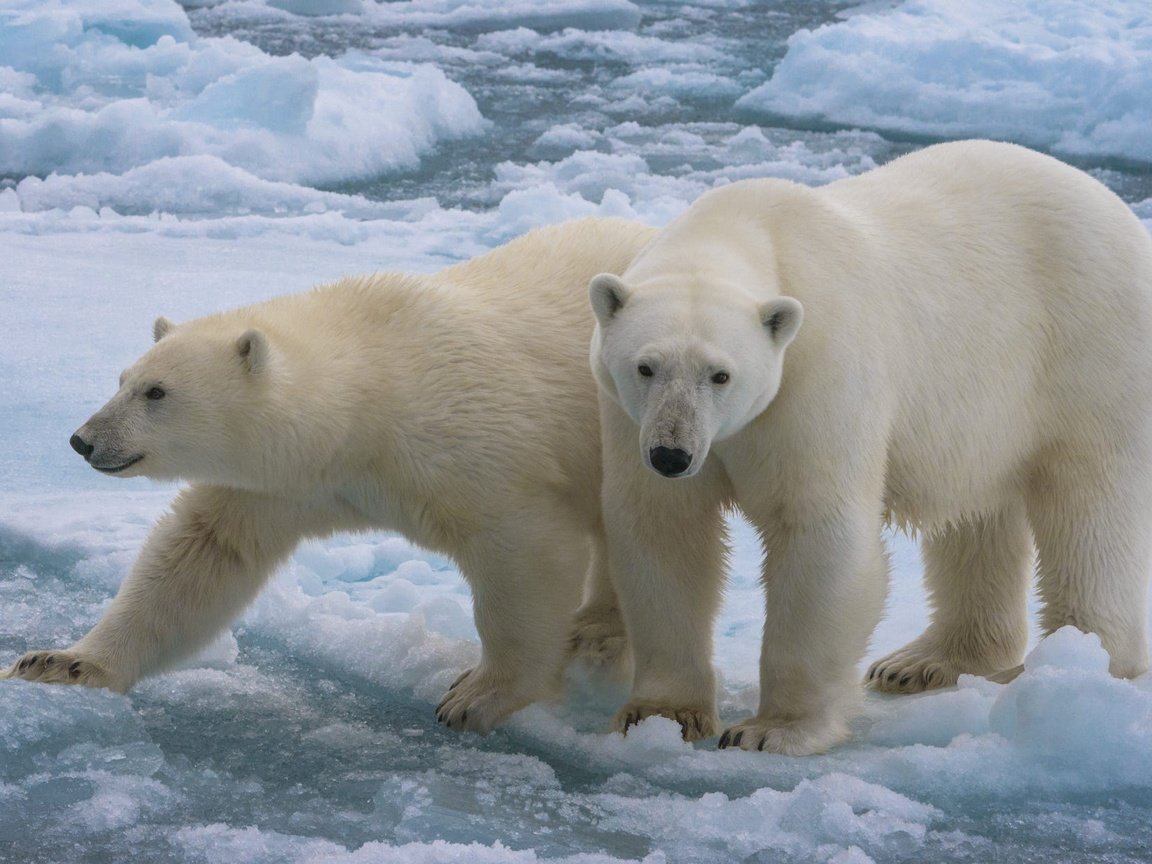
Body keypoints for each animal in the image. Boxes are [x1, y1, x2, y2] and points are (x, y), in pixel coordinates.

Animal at [4, 217, 658, 737]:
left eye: (156, 391)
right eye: (122, 379)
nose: (83, 439)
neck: (372, 393)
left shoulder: (475, 448)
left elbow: (523, 554)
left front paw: (475, 696)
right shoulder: (282, 485)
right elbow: (201, 555)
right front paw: (60, 663)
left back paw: (600, 634)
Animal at [589, 142, 1152, 755]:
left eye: (721, 374)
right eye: (645, 366)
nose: (673, 455)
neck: (746, 229)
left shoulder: (818, 372)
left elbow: (816, 530)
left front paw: (771, 729)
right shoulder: (628, 417)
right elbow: (664, 531)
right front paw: (660, 715)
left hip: (1086, 348)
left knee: (1089, 508)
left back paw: (1077, 668)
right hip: (984, 413)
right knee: (978, 515)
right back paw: (924, 662)